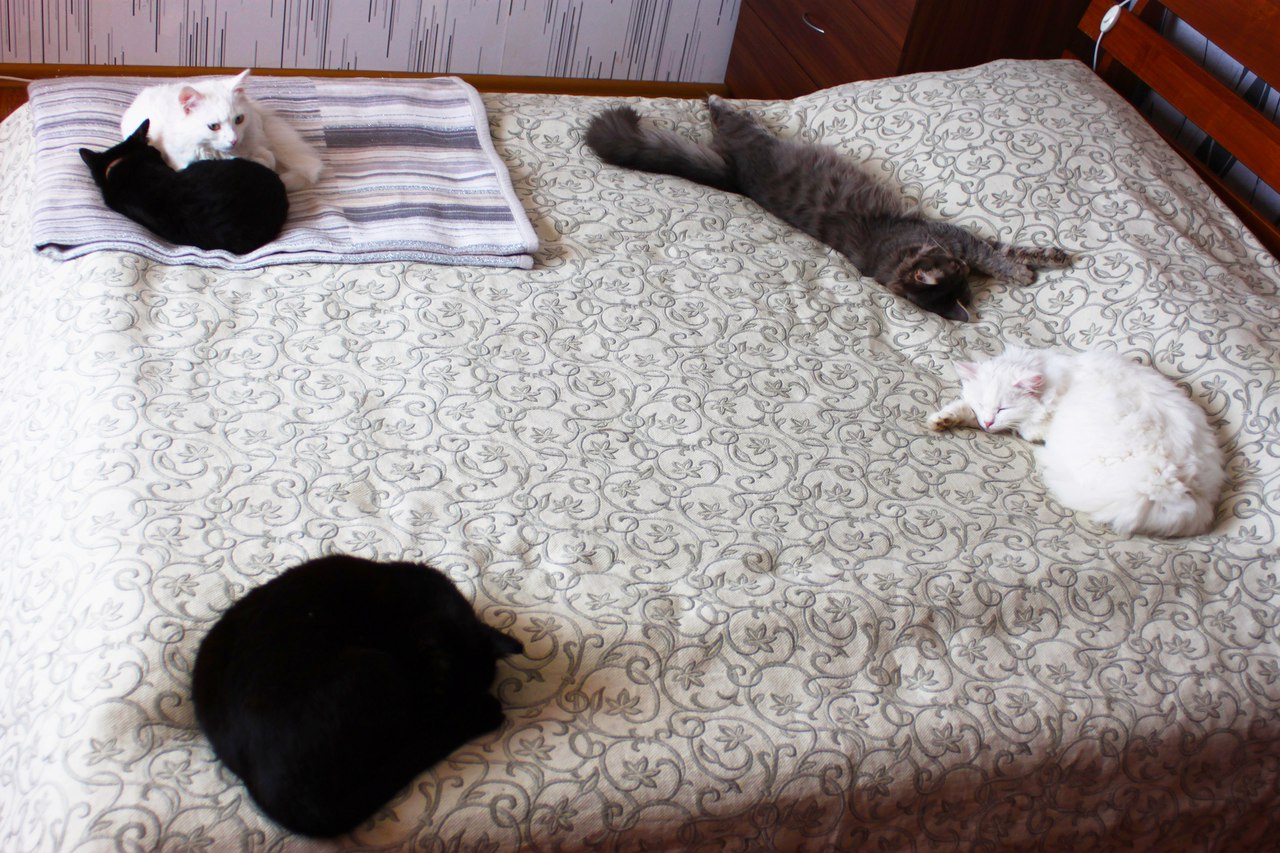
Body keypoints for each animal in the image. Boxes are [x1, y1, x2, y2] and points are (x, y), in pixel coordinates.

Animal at [584, 97, 1071, 322]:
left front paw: (1038, 260)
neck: (893, 255)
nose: (957, 265)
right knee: (728, 116)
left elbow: (1000, 249)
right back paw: (720, 100)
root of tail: (736, 175)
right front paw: (1031, 269)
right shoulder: (952, 236)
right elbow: (997, 253)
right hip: (750, 134)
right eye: (951, 267)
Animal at [928, 345, 1225, 537]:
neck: (1057, 381)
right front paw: (942, 420)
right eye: (983, 404)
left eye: (1003, 409)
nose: (988, 423)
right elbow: (963, 409)